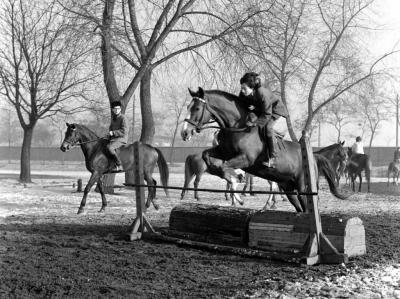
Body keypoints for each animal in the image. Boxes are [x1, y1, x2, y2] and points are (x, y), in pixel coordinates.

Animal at [180, 87, 346, 213]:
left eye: (196, 108)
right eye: (188, 107)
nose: (184, 133)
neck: (237, 127)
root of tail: (313, 157)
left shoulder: (245, 159)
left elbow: (225, 167)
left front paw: (236, 183)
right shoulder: (224, 152)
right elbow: (207, 156)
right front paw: (233, 181)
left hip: (303, 187)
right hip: (289, 188)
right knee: (300, 208)